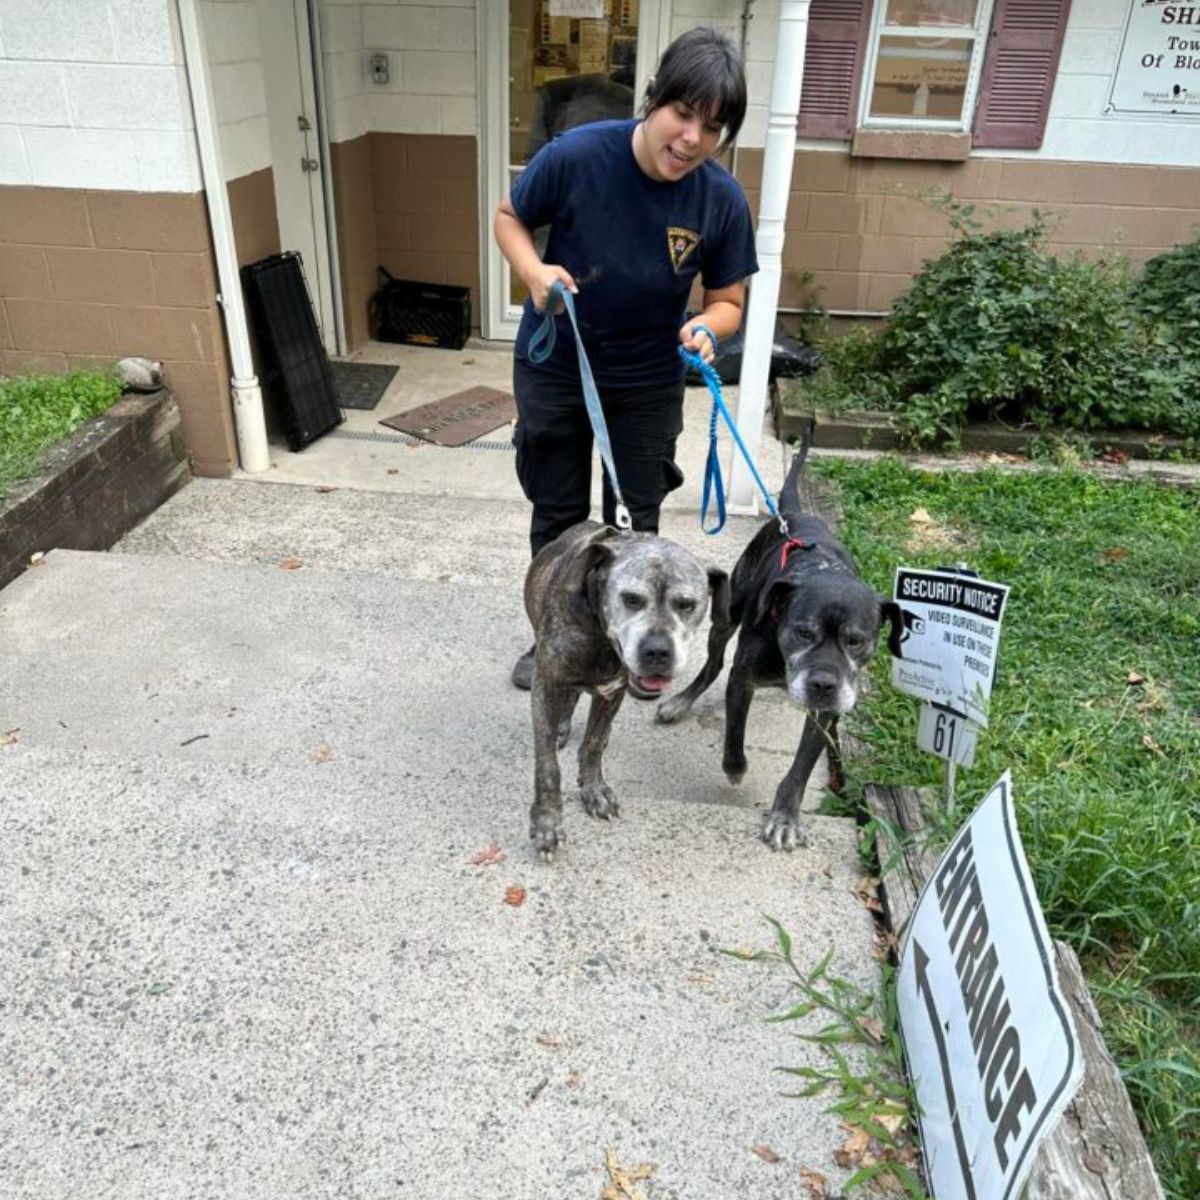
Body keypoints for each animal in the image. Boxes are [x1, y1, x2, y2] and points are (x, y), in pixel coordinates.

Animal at [525, 520, 729, 859]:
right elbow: (547, 765)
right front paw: (547, 823)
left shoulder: (612, 691)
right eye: (631, 599)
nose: (657, 651)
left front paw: (594, 789)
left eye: (686, 605)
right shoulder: (546, 682)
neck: (601, 636)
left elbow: (593, 744)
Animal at [657, 446, 902, 849]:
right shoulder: (743, 680)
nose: (822, 685)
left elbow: (800, 768)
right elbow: (734, 740)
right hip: (727, 612)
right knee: (713, 664)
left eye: (856, 640)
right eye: (803, 632)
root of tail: (793, 515)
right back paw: (680, 702)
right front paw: (736, 770)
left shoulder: (825, 711)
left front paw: (785, 816)